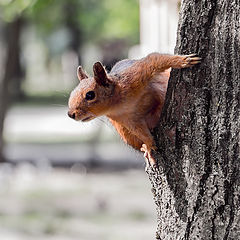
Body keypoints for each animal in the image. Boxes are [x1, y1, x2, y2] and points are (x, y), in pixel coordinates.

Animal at [68, 53, 201, 167]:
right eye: (72, 93)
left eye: (90, 95)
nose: (70, 114)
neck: (117, 104)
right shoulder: (126, 119)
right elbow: (140, 132)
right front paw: (149, 146)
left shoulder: (135, 75)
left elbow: (156, 59)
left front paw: (183, 60)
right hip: (124, 133)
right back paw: (144, 148)